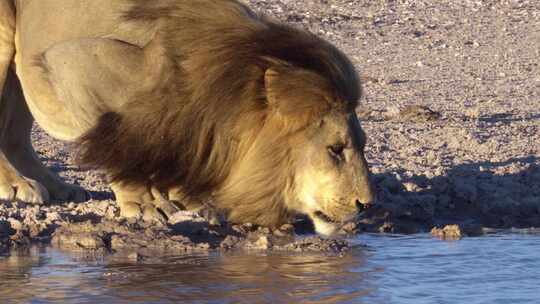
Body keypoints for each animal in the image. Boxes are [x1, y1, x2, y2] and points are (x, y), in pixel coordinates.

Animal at [0, 0, 374, 235]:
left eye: (362, 145)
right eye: (335, 149)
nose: (366, 205)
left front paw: (185, 198)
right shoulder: (73, 62)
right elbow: (121, 152)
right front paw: (145, 203)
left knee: (14, 134)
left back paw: (58, 187)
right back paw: (17, 185)